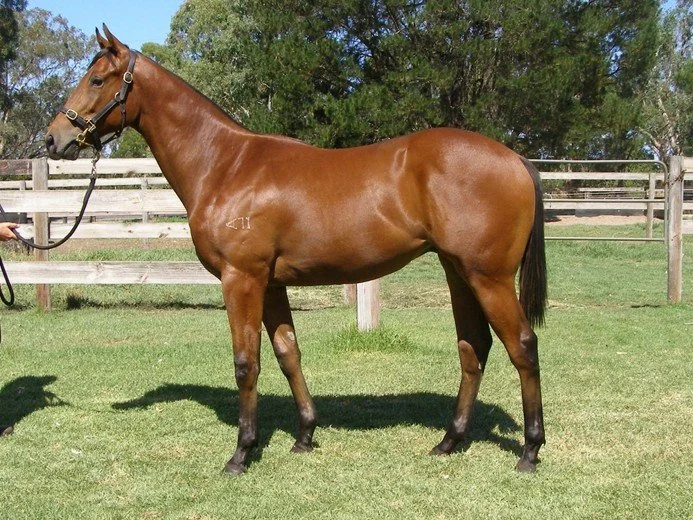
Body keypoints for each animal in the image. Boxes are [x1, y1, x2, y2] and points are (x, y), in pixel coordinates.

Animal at [45, 26, 547, 475]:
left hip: (488, 277)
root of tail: (516, 159)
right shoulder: (270, 285)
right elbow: (288, 353)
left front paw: (241, 453)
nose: (53, 139)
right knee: (473, 347)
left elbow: (246, 364)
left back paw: (529, 451)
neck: (225, 165)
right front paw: (305, 435)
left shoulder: (241, 279)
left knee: (522, 346)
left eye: (97, 80)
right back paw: (449, 441)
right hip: (458, 271)